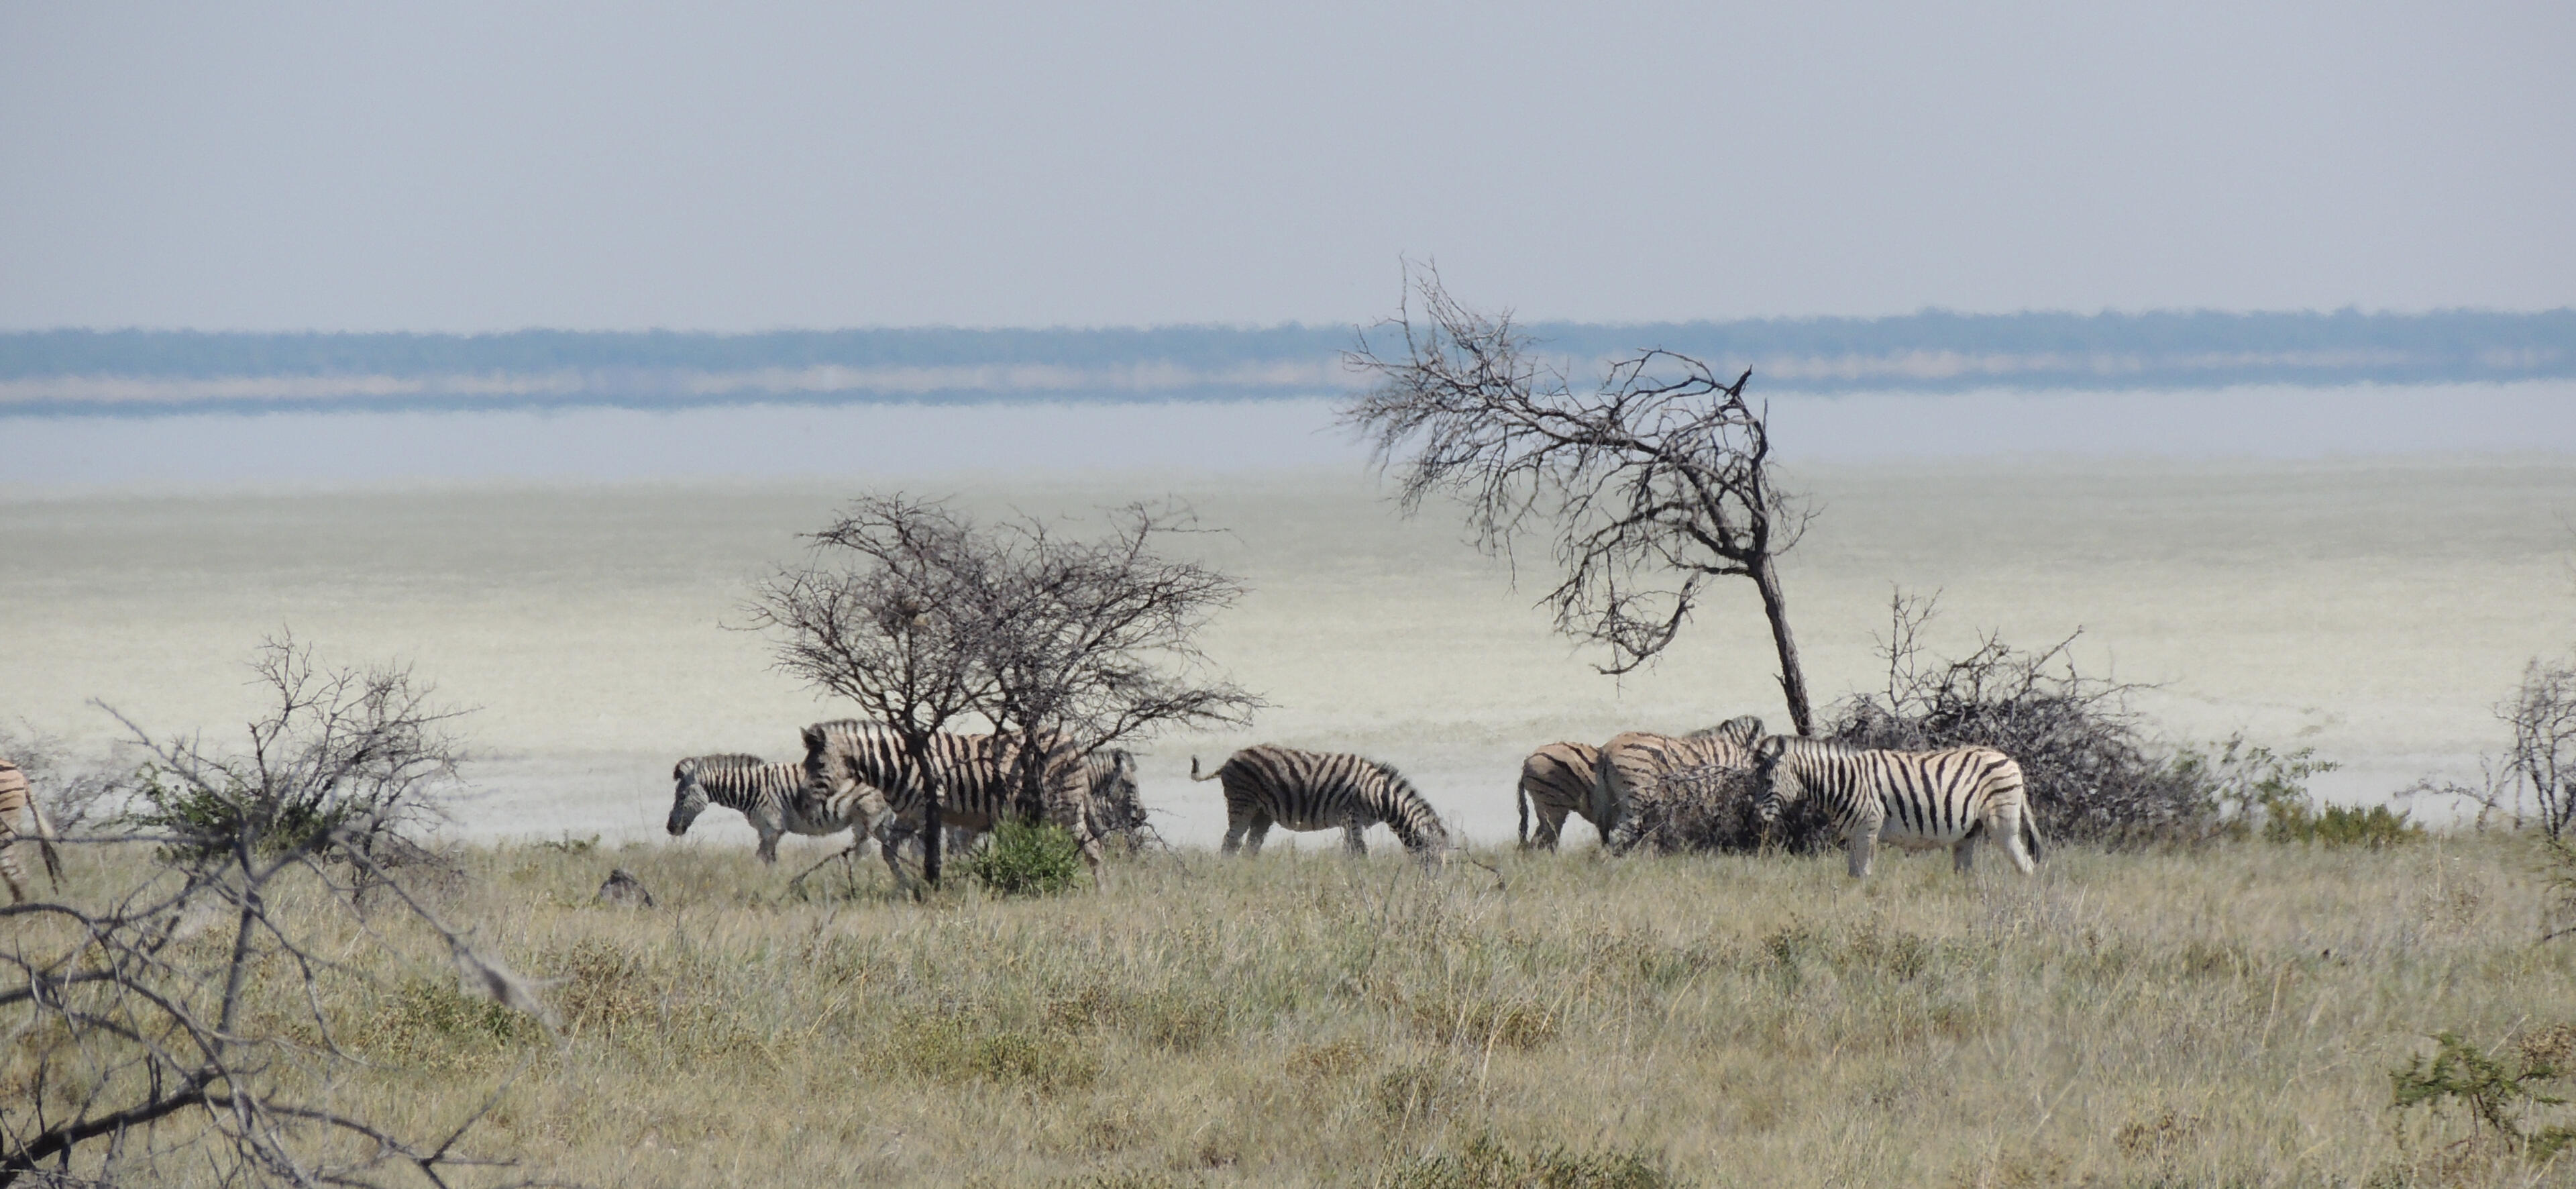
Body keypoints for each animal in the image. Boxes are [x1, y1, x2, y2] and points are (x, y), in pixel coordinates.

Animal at [667, 753, 892, 865]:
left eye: (681, 796)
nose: (670, 828)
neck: (750, 788)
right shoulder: (766, 830)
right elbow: (770, 859)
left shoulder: (772, 827)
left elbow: (762, 859)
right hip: (880, 821)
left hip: (865, 817)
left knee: (863, 851)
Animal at [798, 720, 1104, 879]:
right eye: (804, 765)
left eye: (819, 766)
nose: (802, 802)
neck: (897, 764)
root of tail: (1070, 738)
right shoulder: (908, 816)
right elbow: (889, 853)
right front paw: (907, 887)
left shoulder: (928, 811)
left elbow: (931, 855)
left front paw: (933, 885)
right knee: (1092, 847)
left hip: (1064, 806)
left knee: (1091, 847)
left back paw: (1099, 892)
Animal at [1189, 745, 1449, 859]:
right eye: (1434, 859)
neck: (1381, 796)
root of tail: (1229, 760)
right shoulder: (1352, 817)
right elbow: (1360, 852)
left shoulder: (1350, 822)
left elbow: (1351, 851)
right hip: (1242, 803)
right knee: (1230, 842)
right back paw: (1229, 871)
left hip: (1263, 813)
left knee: (1250, 847)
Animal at [1750, 735, 2042, 877]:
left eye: (1768, 781)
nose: (1757, 819)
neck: (1844, 781)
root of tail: (2011, 761)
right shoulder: (1854, 835)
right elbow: (1852, 875)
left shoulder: (1867, 831)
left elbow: (1864, 875)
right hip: (1970, 832)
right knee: (1965, 872)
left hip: (2002, 824)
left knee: (2026, 865)